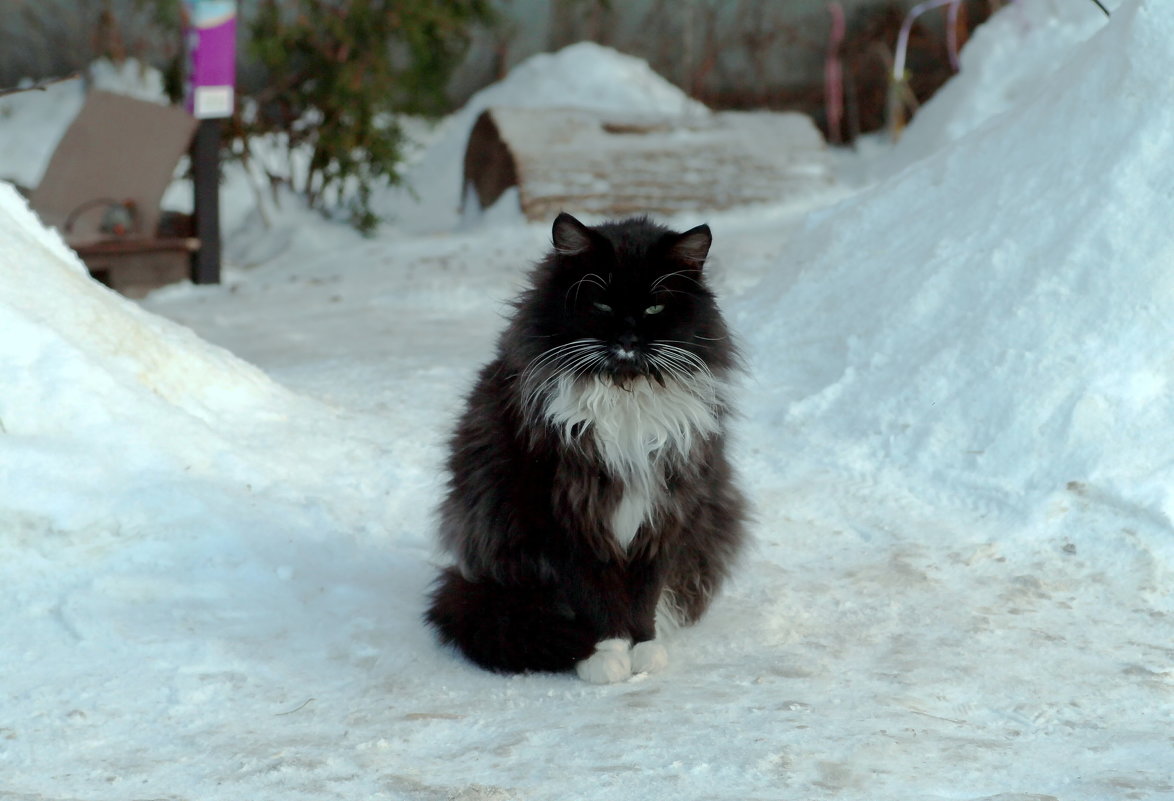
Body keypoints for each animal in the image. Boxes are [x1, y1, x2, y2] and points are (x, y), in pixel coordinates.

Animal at [427, 210, 746, 681]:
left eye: (654, 307)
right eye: (603, 305)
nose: (628, 340)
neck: (624, 393)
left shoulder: (665, 508)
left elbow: (645, 594)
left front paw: (644, 648)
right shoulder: (563, 516)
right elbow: (595, 595)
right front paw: (607, 655)